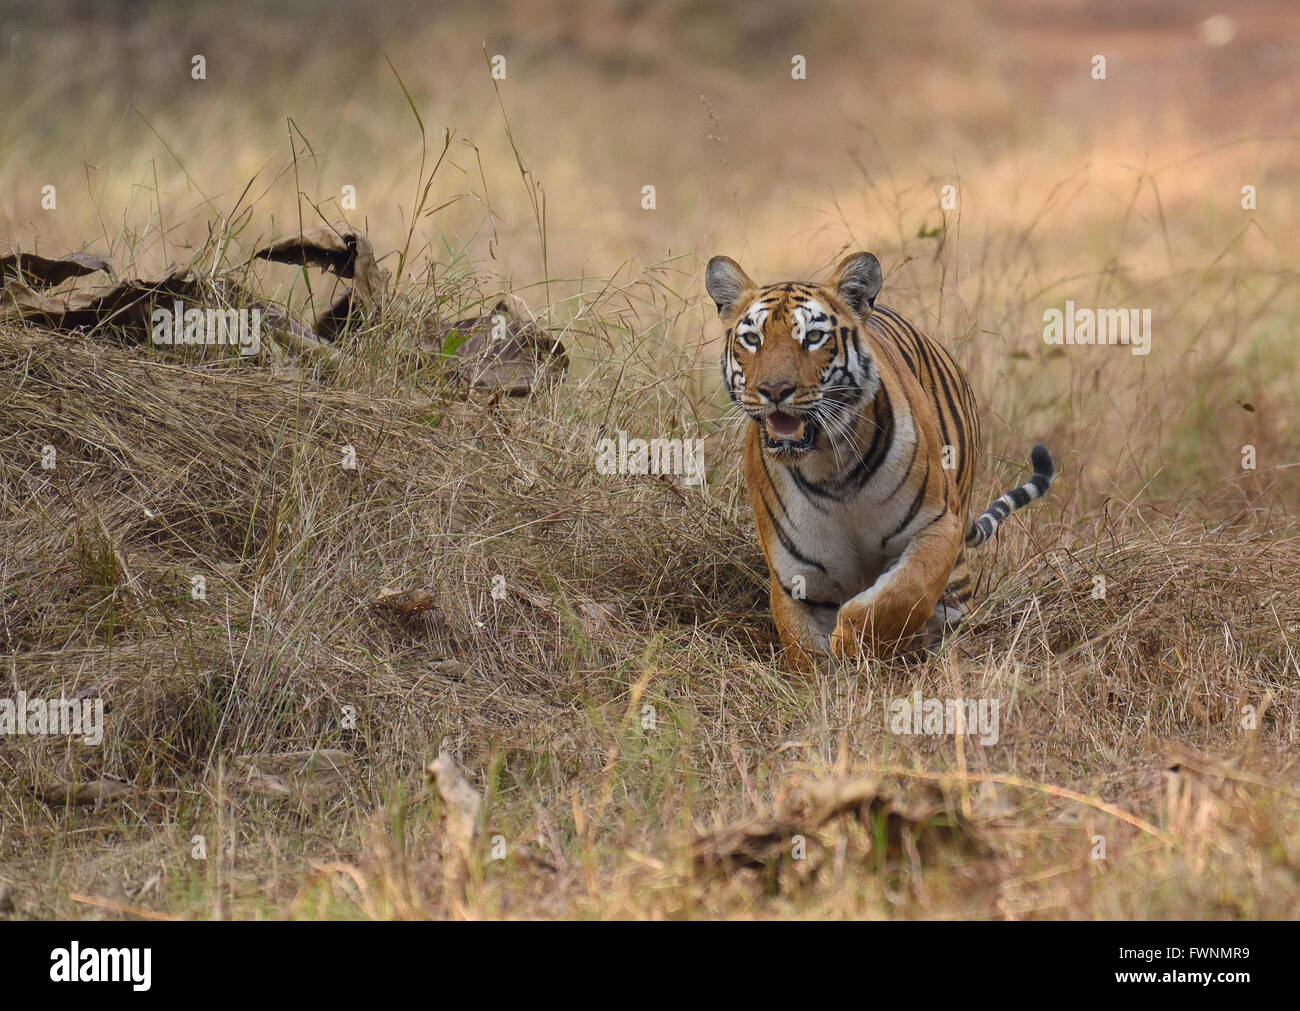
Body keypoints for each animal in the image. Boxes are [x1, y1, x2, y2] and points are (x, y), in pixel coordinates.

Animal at [707, 249, 1050, 665]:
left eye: (814, 337)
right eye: (752, 339)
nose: (774, 390)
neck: (830, 467)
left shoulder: (938, 526)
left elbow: (900, 595)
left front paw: (852, 644)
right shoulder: (796, 576)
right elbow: (804, 652)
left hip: (958, 557)